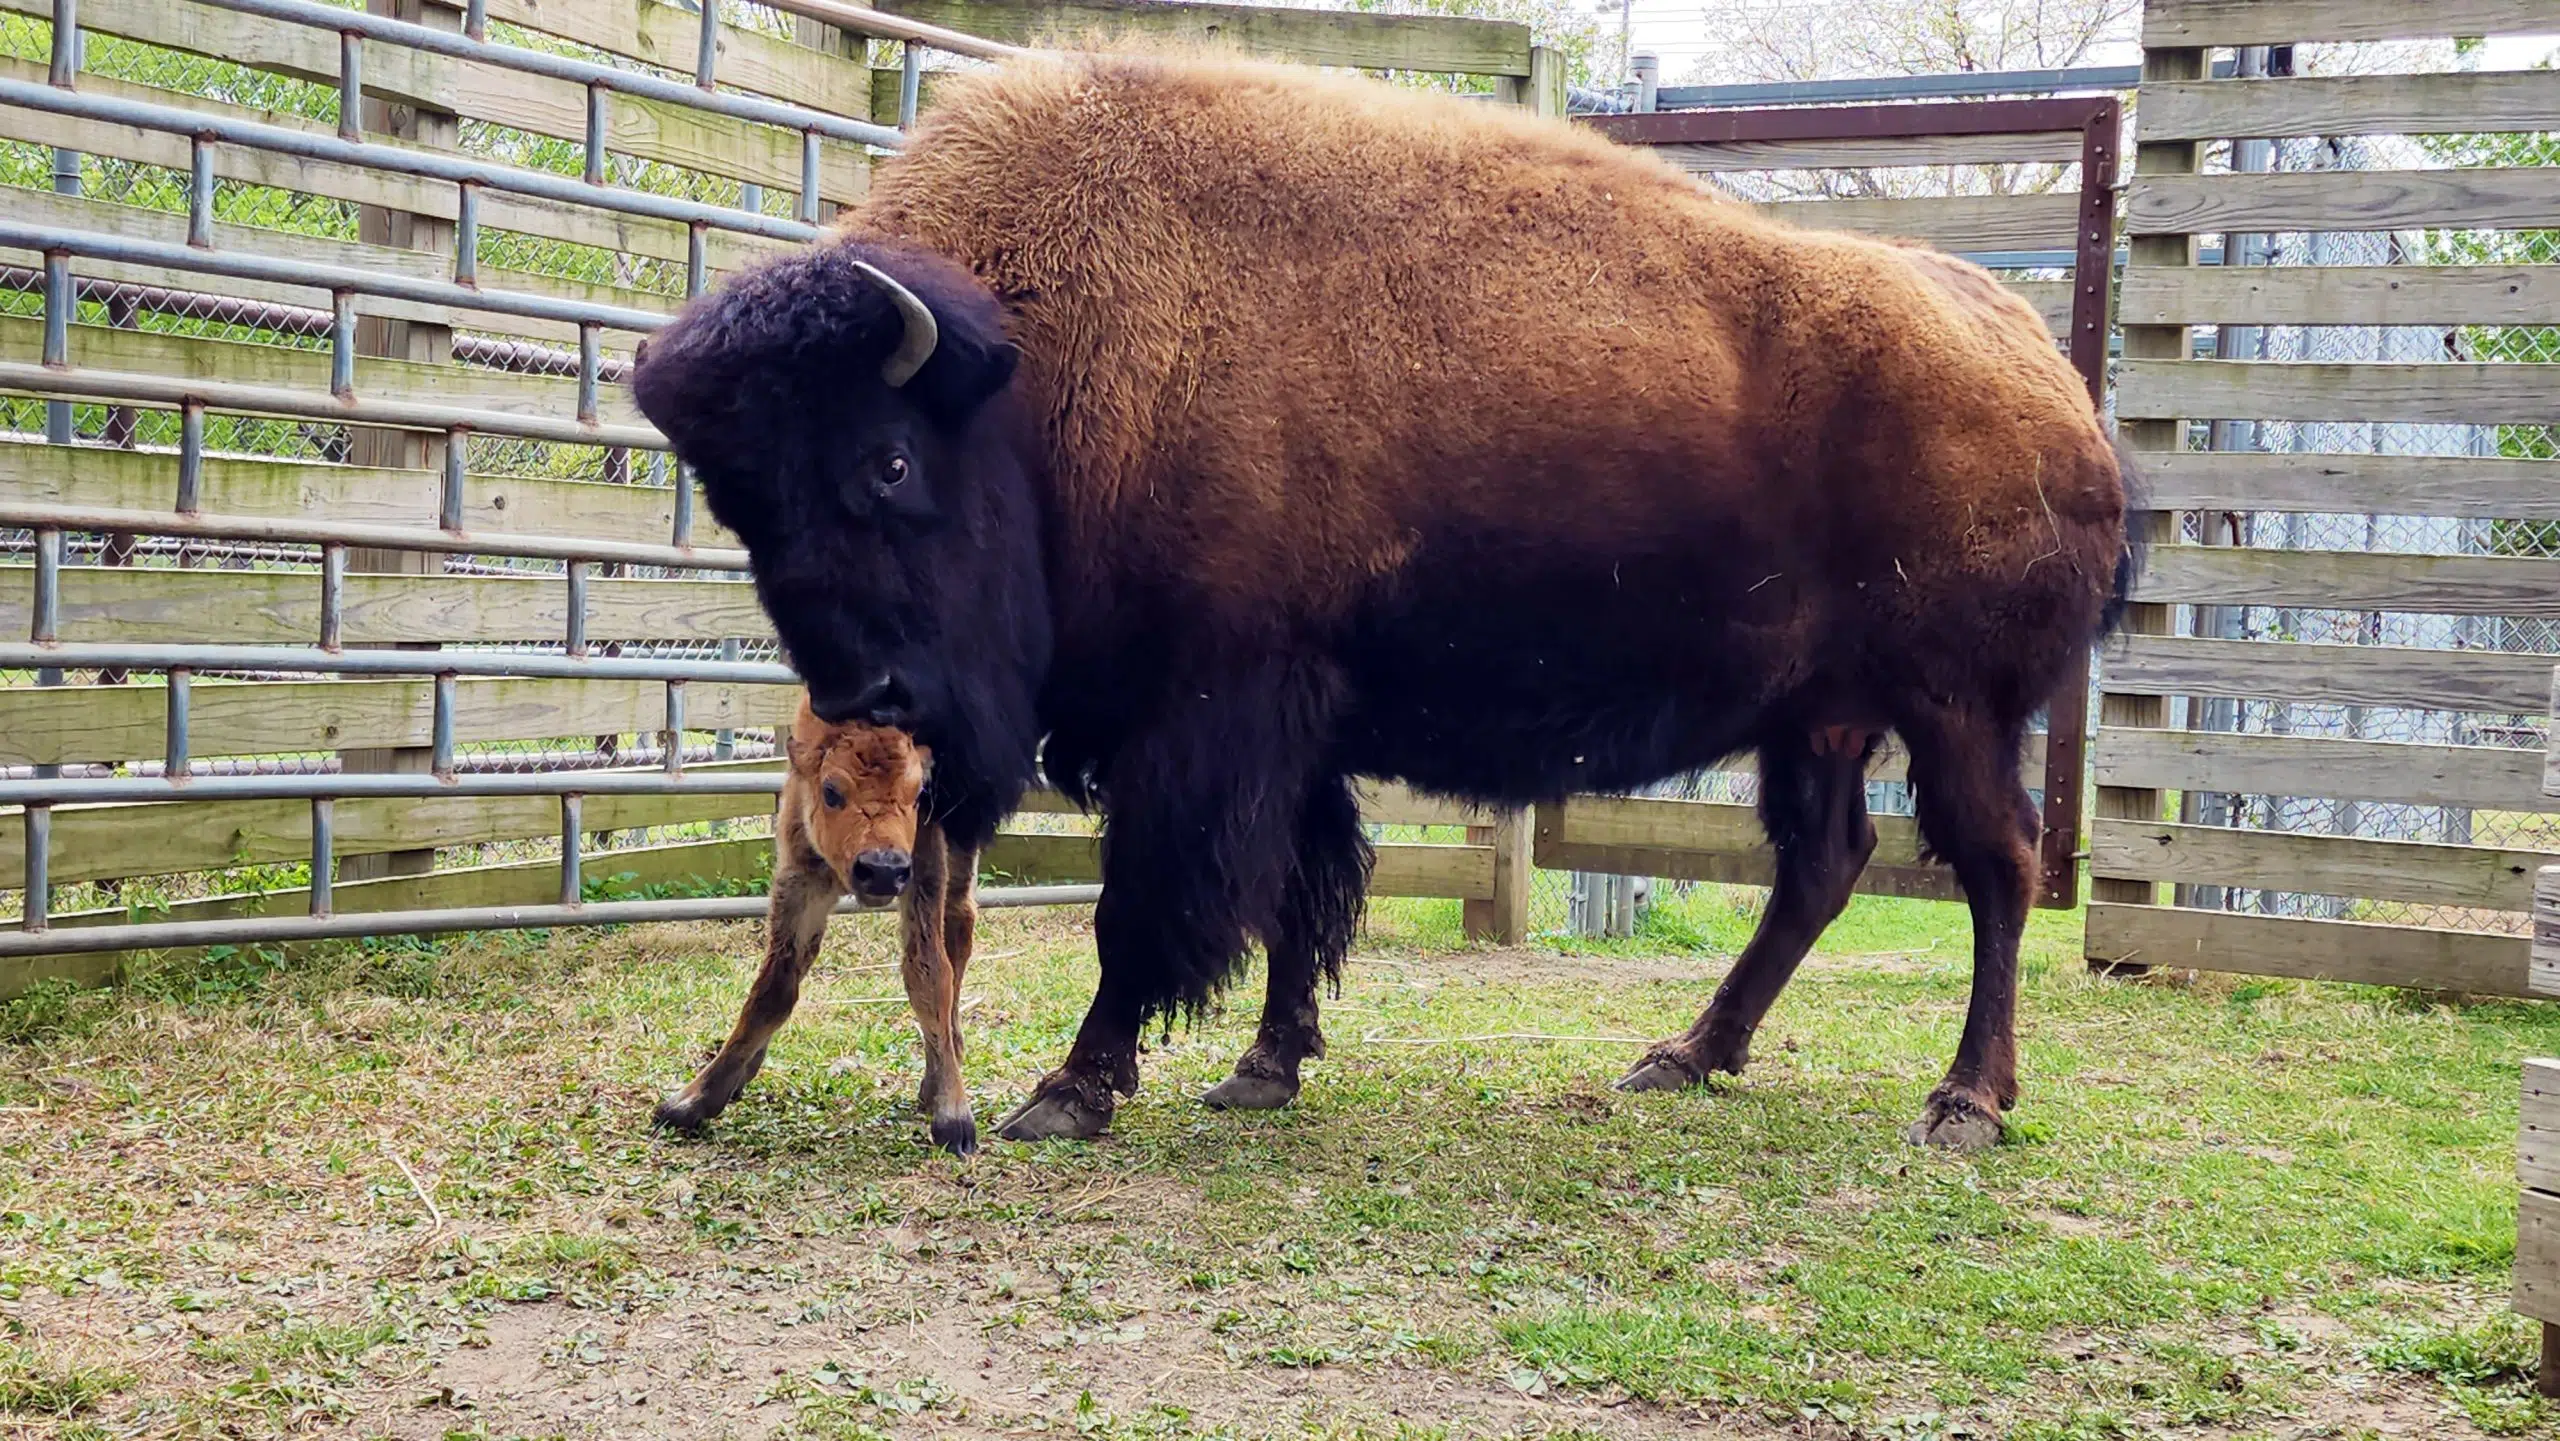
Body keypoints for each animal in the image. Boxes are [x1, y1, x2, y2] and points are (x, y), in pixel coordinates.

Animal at [650, 706, 988, 1156]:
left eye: (918, 794)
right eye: (831, 791)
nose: (882, 870)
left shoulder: (924, 866)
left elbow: (929, 977)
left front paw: (953, 1115)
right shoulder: (801, 876)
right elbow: (773, 990)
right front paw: (692, 1101)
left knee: (959, 925)